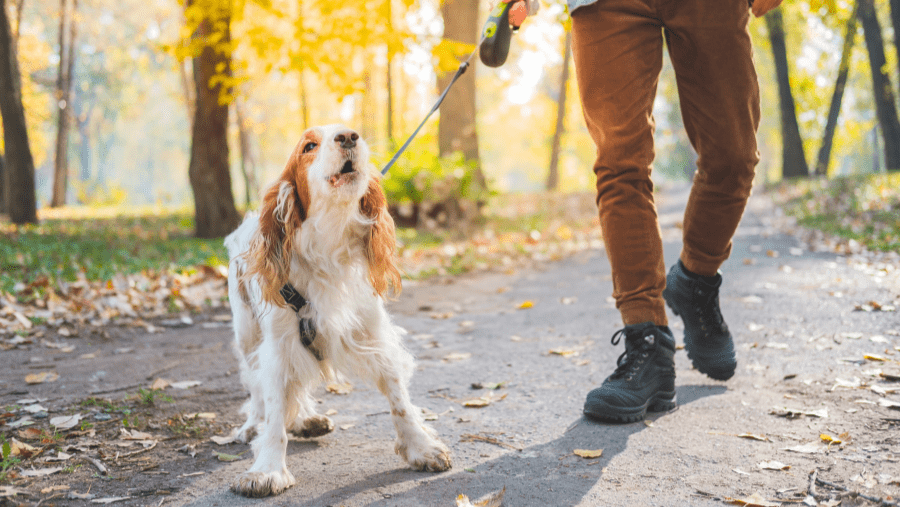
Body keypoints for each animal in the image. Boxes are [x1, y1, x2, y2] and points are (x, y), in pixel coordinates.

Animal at [222, 125, 454, 498]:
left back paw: (306, 419)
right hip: (247, 333)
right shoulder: (278, 345)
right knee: (256, 386)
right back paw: (253, 424)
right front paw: (267, 469)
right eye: (309, 146)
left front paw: (421, 446)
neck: (328, 244)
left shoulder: (373, 334)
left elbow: (399, 399)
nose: (348, 136)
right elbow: (274, 410)